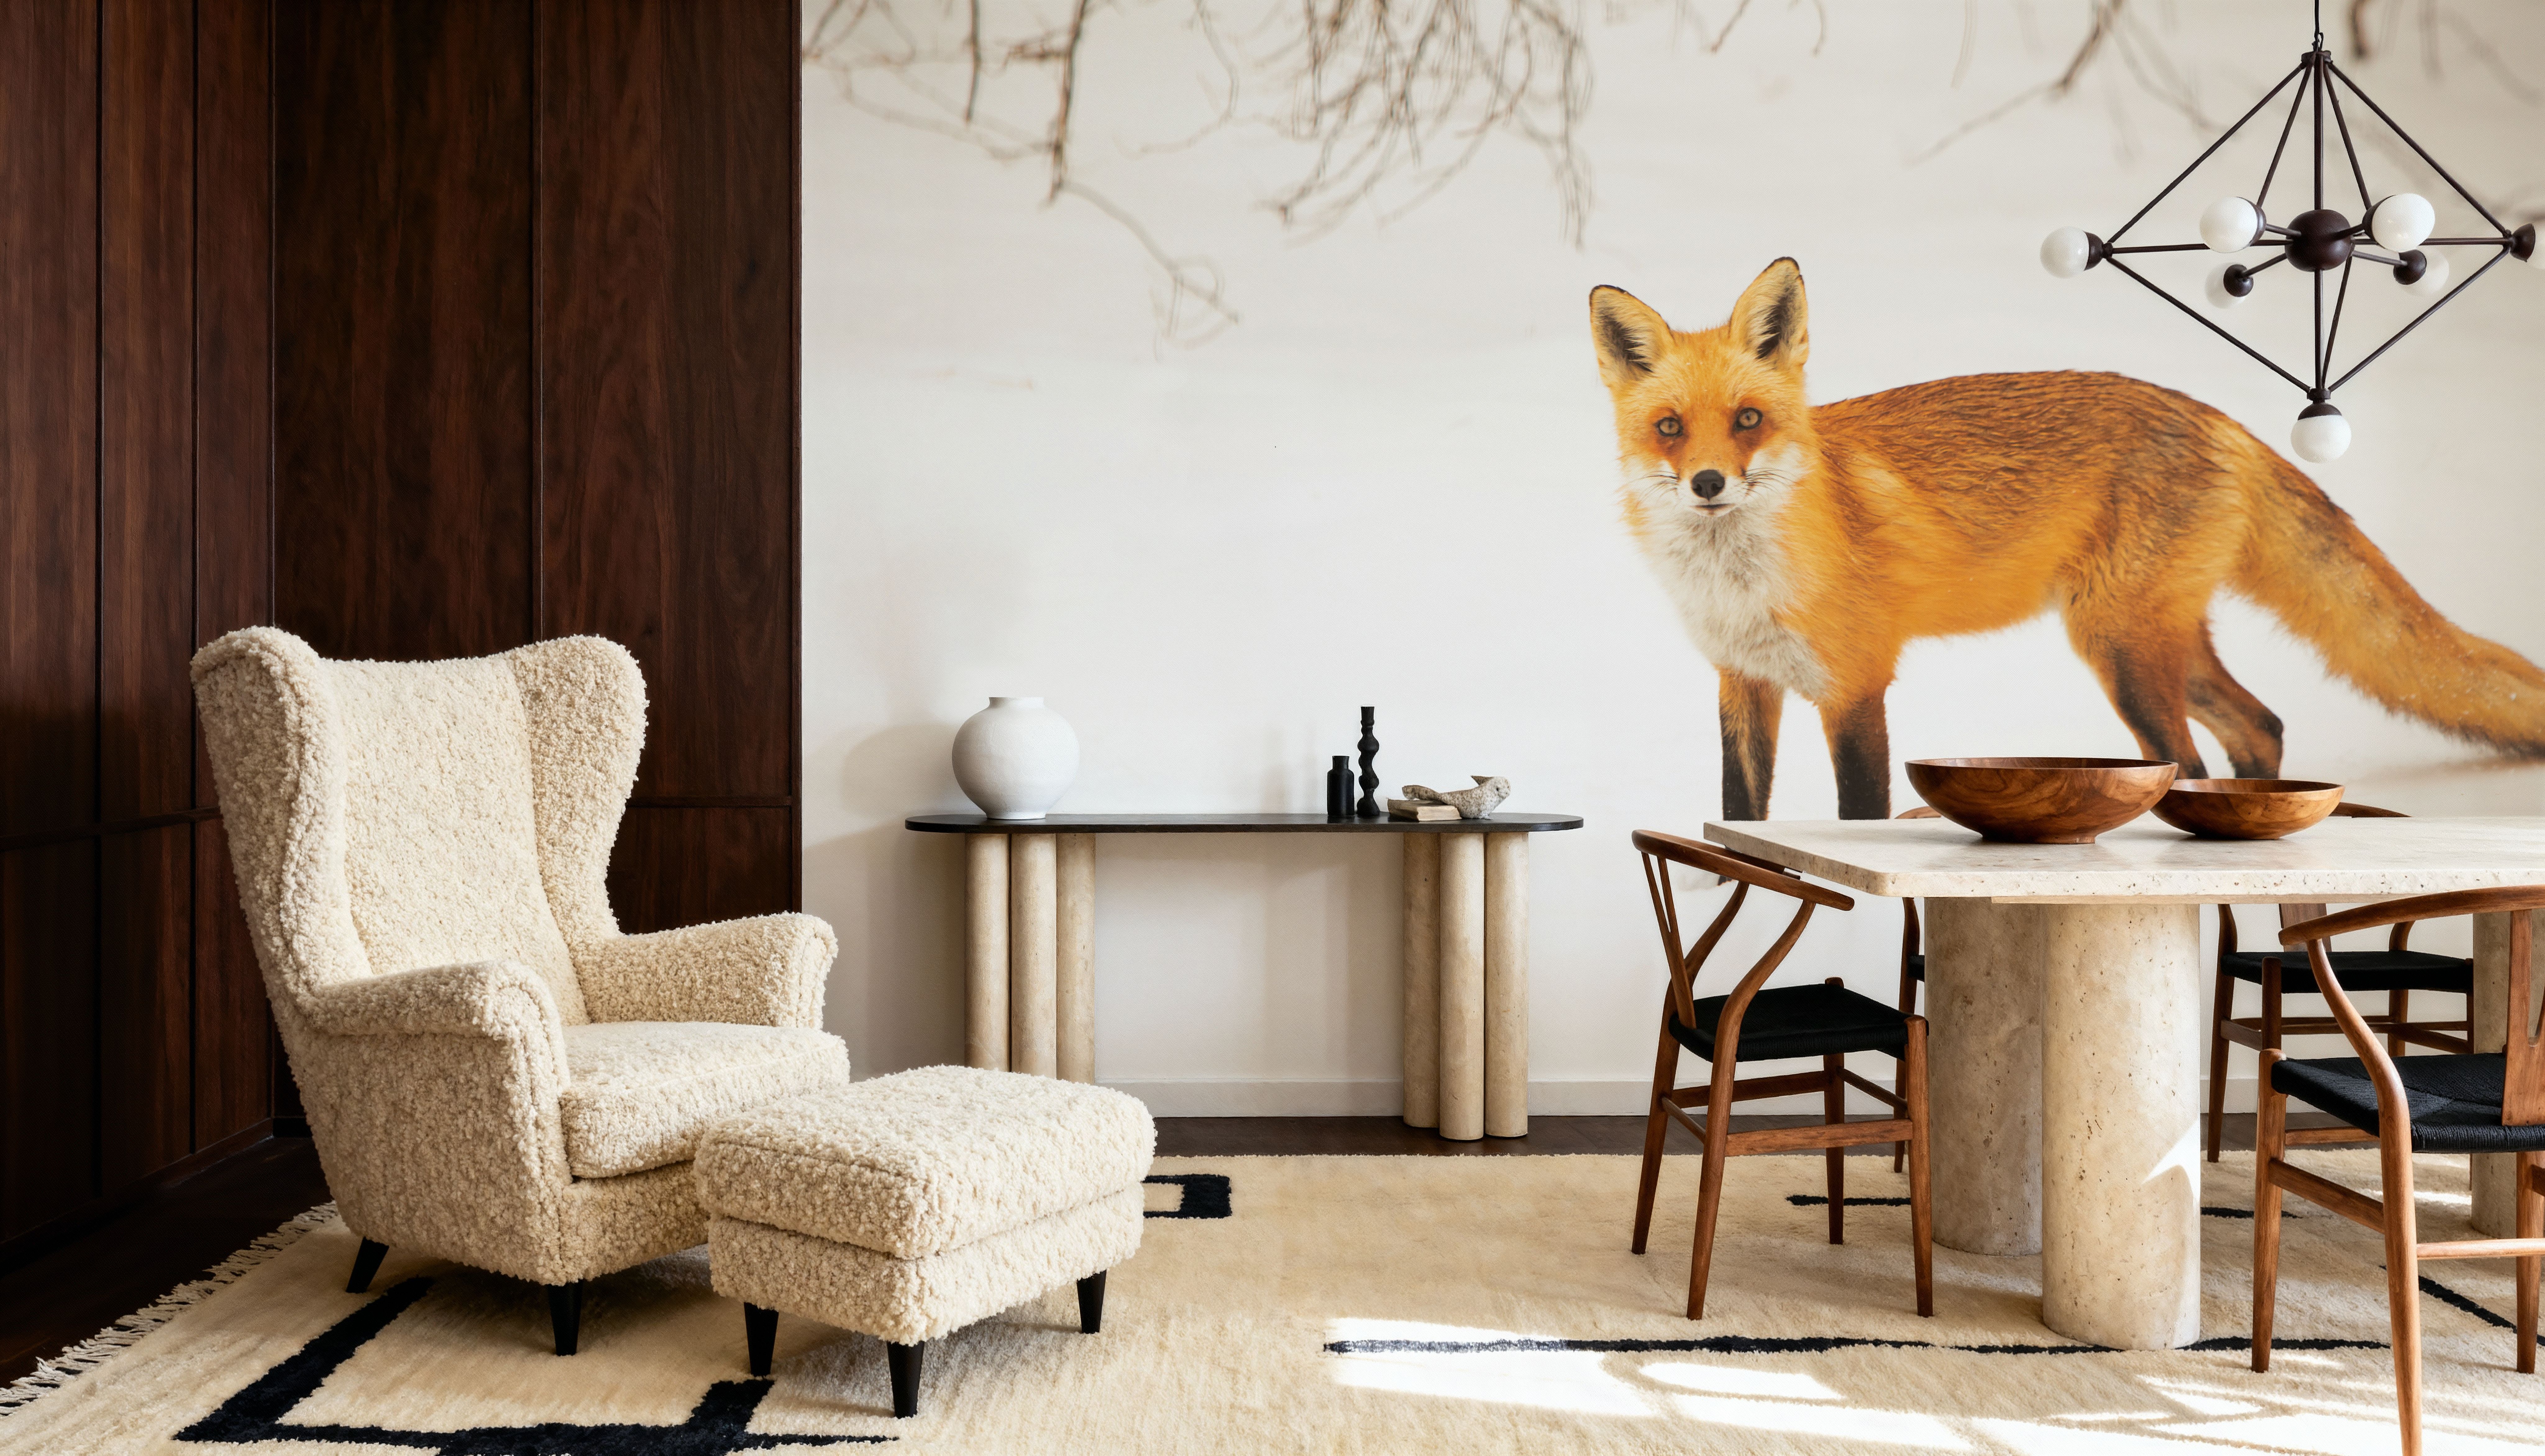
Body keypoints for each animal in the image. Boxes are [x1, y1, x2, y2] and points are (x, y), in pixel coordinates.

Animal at [1590, 257, 2545, 821]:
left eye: (1748, 420)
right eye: (1671, 428)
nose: (1709, 484)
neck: (1740, 585)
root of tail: (2218, 417)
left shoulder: (1855, 686)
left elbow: (1856, 817)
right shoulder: (1742, 682)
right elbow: (1736, 812)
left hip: (2119, 649)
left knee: (2187, 762)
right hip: (2156, 642)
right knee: (2261, 727)